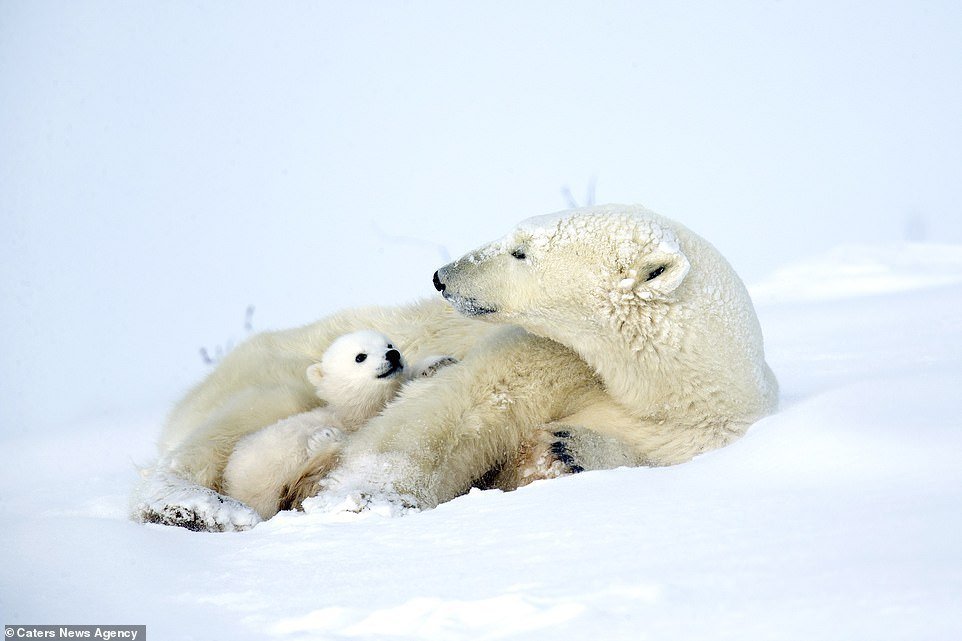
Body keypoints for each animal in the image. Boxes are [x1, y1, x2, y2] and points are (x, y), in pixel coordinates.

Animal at [135, 205, 776, 528]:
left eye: (520, 251)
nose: (442, 276)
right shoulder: (548, 353)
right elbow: (466, 403)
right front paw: (363, 500)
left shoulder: (706, 433)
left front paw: (567, 449)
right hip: (276, 368)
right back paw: (192, 507)